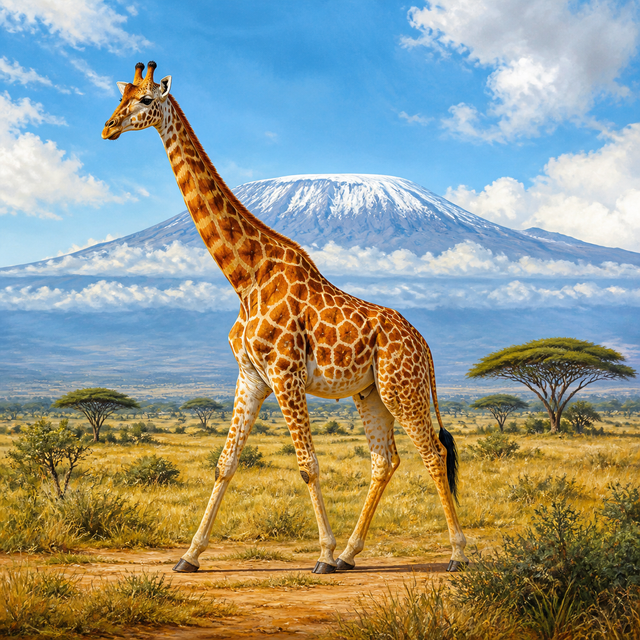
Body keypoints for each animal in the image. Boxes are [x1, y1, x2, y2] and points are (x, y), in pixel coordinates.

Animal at [102, 62, 468, 574]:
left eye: (145, 101)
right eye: (121, 96)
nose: (108, 128)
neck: (245, 276)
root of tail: (425, 345)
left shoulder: (284, 372)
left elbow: (307, 465)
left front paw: (323, 554)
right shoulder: (251, 375)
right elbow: (225, 463)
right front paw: (189, 556)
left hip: (403, 387)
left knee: (433, 453)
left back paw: (455, 553)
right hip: (371, 393)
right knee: (385, 460)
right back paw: (353, 554)